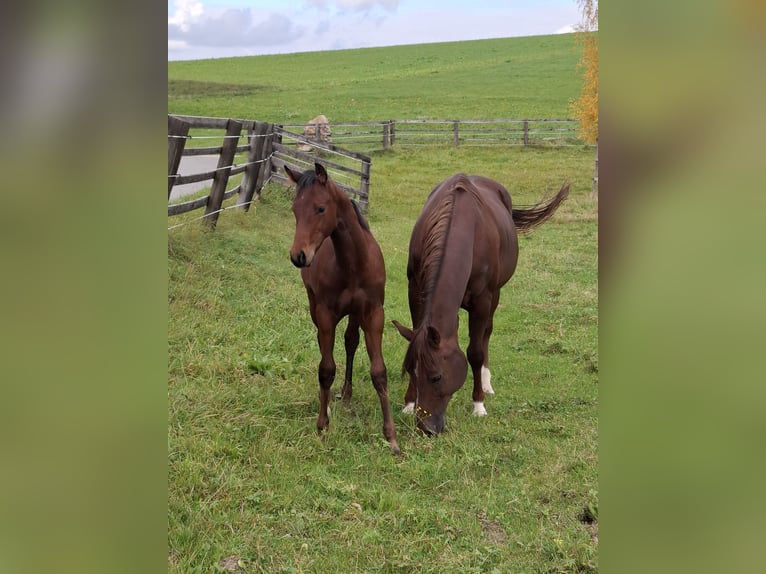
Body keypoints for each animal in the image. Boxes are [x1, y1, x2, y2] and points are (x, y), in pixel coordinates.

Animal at [286, 162, 400, 455]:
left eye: (320, 208)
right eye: (294, 210)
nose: (298, 256)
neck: (353, 264)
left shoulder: (373, 314)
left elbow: (379, 372)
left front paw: (392, 437)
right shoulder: (326, 314)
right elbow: (326, 369)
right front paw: (322, 424)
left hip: (355, 315)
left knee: (350, 342)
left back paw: (347, 395)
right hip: (315, 307)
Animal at [392, 174, 569, 435]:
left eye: (436, 377)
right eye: (411, 372)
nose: (426, 429)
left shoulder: (483, 300)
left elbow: (474, 352)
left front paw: (478, 405)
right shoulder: (414, 289)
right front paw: (408, 403)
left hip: (495, 296)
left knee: (486, 334)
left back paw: (486, 383)